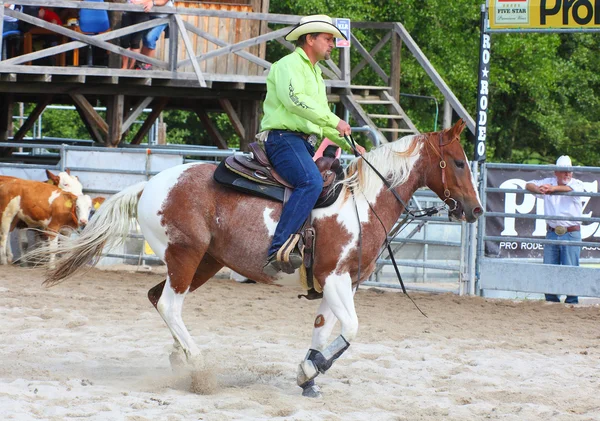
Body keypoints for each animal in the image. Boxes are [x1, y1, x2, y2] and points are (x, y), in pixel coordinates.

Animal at [35, 119, 482, 398]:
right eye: (460, 162)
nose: (476, 210)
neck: (362, 203)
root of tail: (149, 186)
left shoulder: (339, 284)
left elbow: (323, 329)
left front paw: (308, 377)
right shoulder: (335, 278)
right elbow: (351, 329)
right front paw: (311, 370)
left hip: (205, 262)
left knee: (157, 298)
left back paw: (180, 359)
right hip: (185, 256)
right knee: (169, 304)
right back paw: (199, 367)